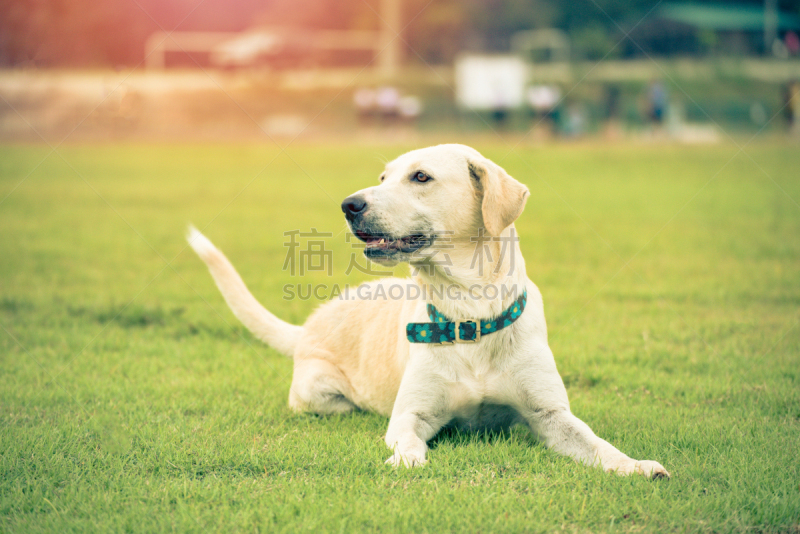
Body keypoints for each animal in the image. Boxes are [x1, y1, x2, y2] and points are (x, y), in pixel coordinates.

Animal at [191, 144, 672, 480]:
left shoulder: (551, 416)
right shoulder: (411, 415)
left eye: (420, 177)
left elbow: (598, 444)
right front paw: (407, 460)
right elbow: (408, 440)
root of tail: (309, 324)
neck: (468, 312)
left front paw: (635, 465)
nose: (348, 204)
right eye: (383, 176)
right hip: (319, 393)